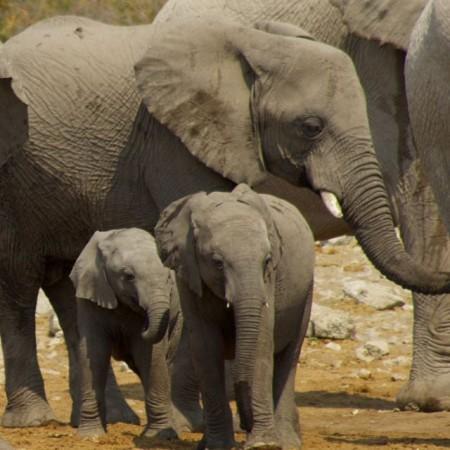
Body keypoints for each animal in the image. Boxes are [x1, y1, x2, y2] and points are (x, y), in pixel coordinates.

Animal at [70, 229, 181, 440]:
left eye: (168, 278)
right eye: (129, 276)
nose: (145, 324)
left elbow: (151, 355)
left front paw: (158, 437)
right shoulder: (91, 293)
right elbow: (93, 352)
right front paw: (91, 436)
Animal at [156, 184, 314, 450]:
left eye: (267, 260)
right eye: (217, 263)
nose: (246, 426)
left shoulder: (269, 280)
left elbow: (261, 343)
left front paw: (263, 445)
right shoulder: (188, 275)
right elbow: (205, 349)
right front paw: (218, 445)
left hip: (307, 292)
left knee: (289, 358)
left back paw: (287, 441)